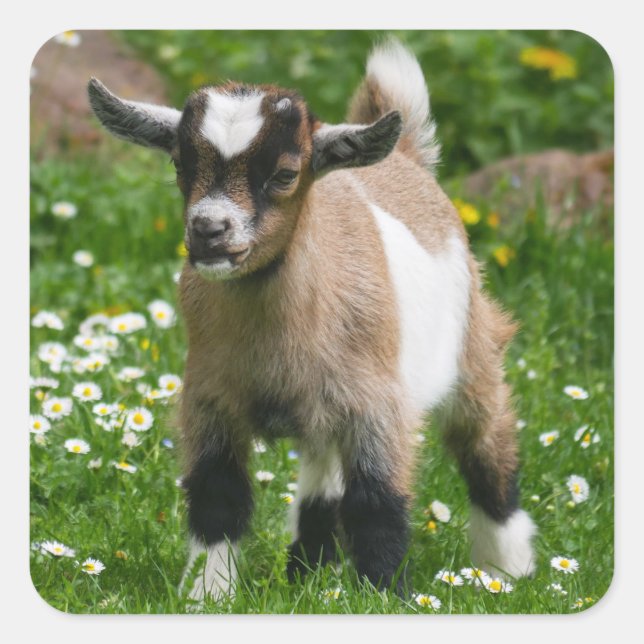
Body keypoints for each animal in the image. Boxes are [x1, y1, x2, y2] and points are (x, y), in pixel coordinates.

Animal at [87, 40, 536, 602]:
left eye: (284, 174)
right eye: (179, 164)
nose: (209, 230)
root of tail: (406, 159)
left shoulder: (378, 405)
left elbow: (377, 502)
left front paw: (384, 596)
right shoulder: (209, 398)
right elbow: (218, 496)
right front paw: (207, 595)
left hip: (472, 351)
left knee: (486, 448)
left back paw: (507, 571)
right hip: (323, 410)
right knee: (322, 478)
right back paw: (308, 571)